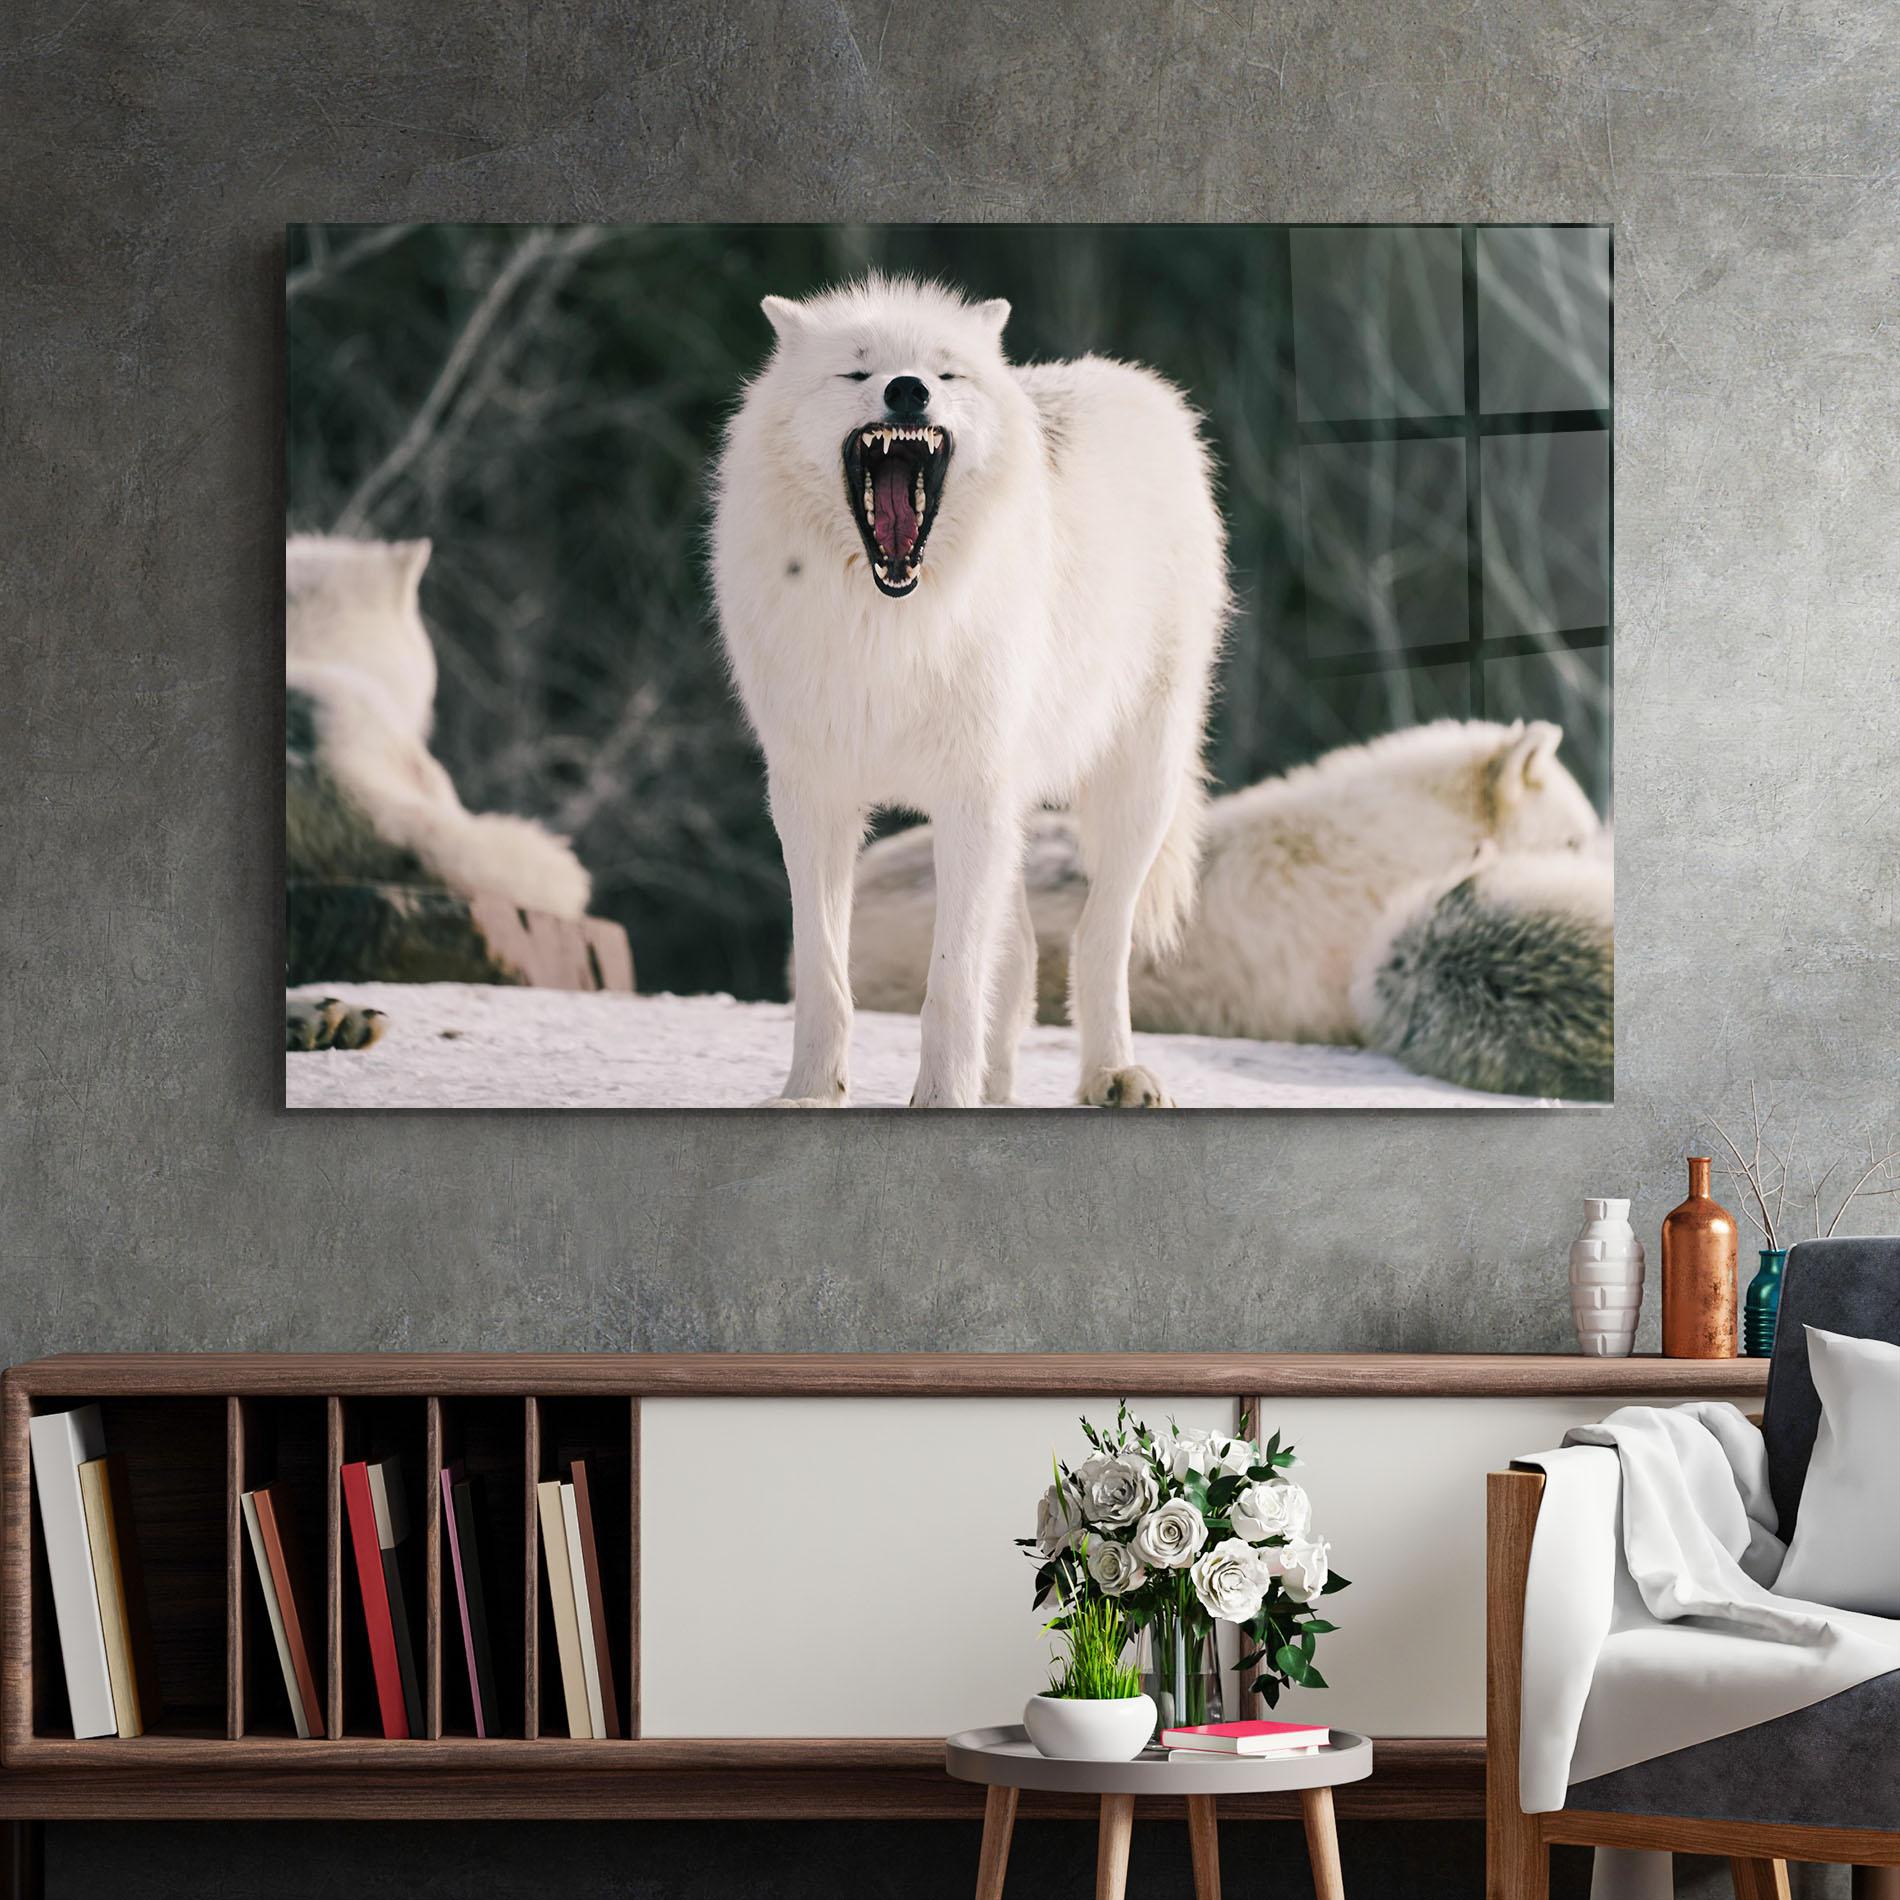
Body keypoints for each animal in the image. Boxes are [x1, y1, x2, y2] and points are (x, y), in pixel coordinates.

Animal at [712, 276, 1226, 1108]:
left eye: (945, 373)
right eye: (857, 371)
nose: (908, 390)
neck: (890, 626)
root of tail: (1136, 383)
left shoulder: (969, 796)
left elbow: (952, 982)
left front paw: (942, 1098)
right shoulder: (811, 796)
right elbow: (824, 972)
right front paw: (811, 1093)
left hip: (1136, 786)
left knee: (1098, 937)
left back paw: (1113, 1073)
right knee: (1017, 958)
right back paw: (999, 1086)